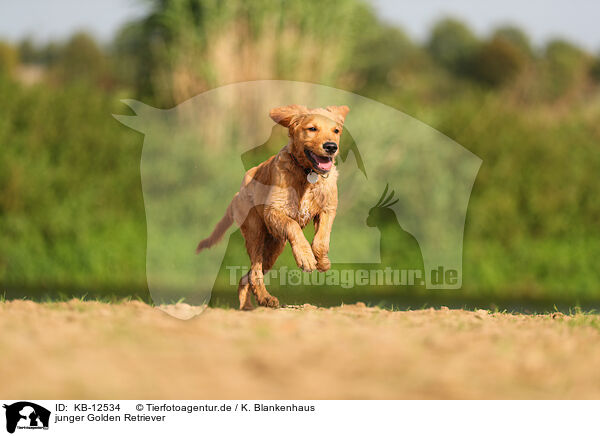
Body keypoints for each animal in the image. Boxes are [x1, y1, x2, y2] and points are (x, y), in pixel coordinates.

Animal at [195, 104, 350, 310]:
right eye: (312, 128)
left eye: (336, 131)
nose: (331, 147)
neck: (307, 173)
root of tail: (238, 194)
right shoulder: (274, 211)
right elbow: (293, 225)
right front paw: (306, 257)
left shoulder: (327, 209)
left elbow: (322, 240)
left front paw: (322, 261)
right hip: (256, 234)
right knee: (254, 272)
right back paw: (265, 299)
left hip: (274, 247)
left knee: (246, 277)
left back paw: (249, 305)